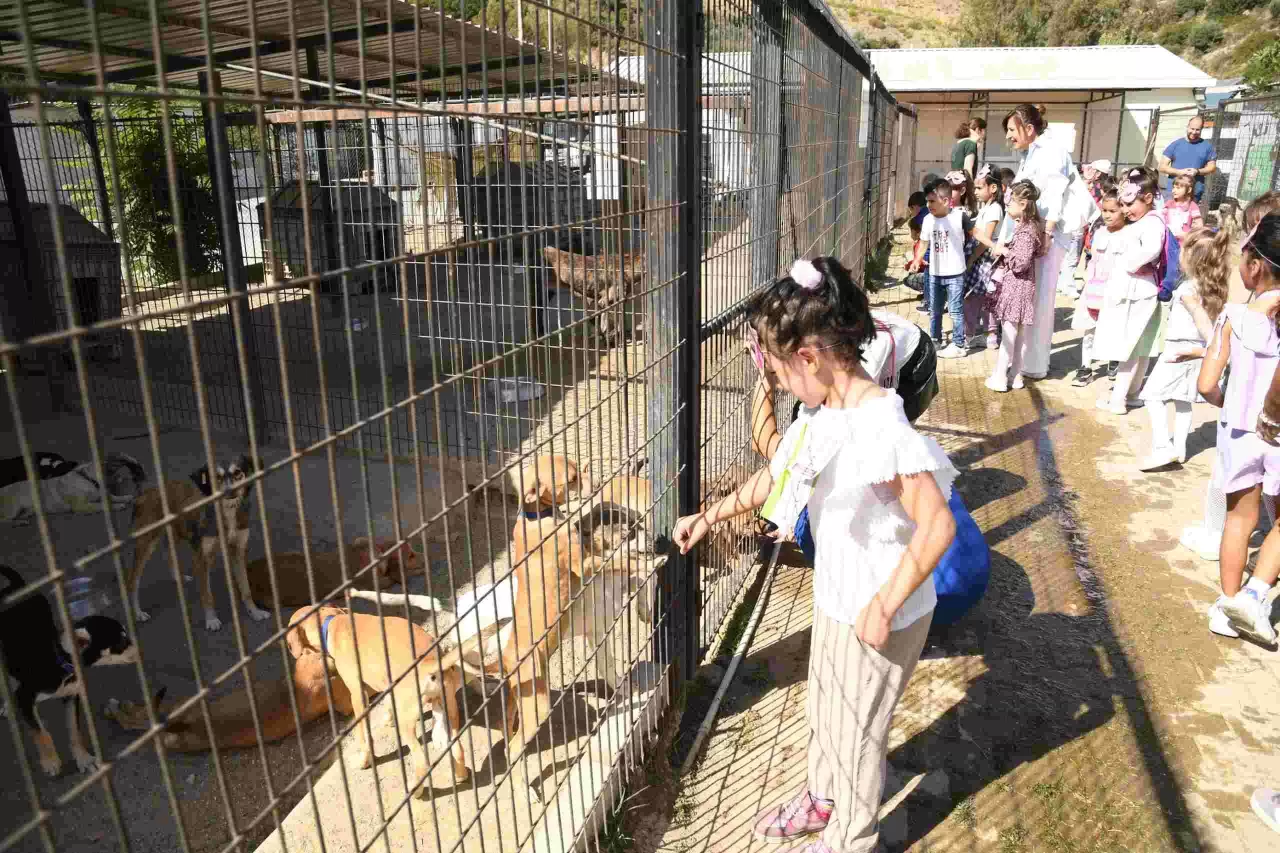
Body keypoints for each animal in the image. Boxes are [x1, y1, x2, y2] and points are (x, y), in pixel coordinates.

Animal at [1, 560, 135, 773]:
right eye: (121, 643)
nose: (139, 650)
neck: (61, 662)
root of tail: (15, 586)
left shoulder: (72, 696)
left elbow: (74, 730)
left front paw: (83, 758)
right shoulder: (25, 698)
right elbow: (40, 731)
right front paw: (50, 761)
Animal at [125, 455, 264, 627]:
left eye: (237, 472)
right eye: (216, 477)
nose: (229, 491)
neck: (226, 511)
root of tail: (146, 492)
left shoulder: (238, 551)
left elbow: (246, 589)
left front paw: (255, 612)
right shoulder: (201, 557)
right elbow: (207, 594)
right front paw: (211, 619)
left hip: (177, 533)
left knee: (169, 553)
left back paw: (179, 577)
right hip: (146, 544)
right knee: (133, 581)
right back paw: (138, 613)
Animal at [288, 601, 468, 788]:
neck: (331, 621)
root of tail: (431, 661)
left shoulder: (357, 695)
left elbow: (364, 737)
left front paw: (363, 760)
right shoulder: (387, 682)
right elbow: (388, 701)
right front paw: (388, 718)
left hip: (408, 725)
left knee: (422, 762)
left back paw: (415, 788)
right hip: (450, 711)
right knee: (459, 750)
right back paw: (460, 776)